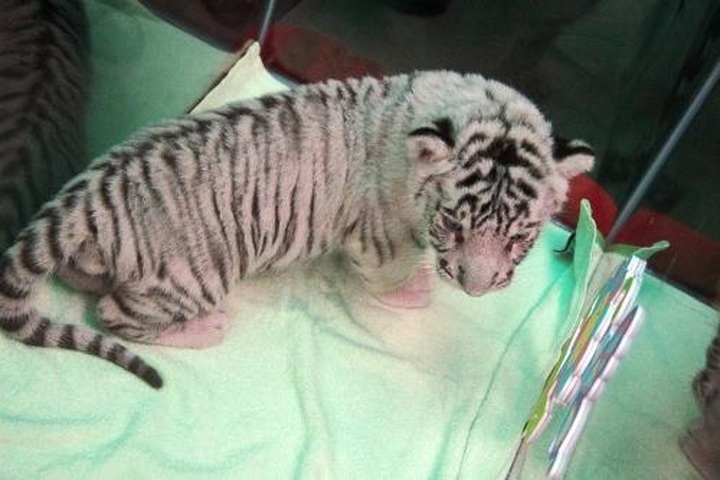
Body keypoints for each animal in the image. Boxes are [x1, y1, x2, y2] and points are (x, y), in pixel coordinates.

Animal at [0, 71, 594, 388]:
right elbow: (390, 273)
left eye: (518, 238)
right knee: (114, 314)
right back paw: (206, 328)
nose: (474, 287)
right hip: (193, 278)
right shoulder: (378, 238)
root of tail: (87, 197)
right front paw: (416, 290)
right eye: (453, 225)